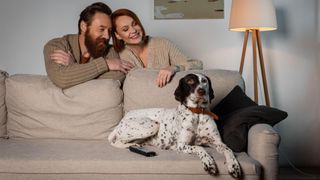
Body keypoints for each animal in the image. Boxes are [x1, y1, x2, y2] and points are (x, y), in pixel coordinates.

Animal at [109, 73, 241, 177]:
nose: (202, 91)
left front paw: (234, 166)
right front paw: (209, 162)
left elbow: (229, 150)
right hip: (153, 125)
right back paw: (133, 145)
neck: (197, 113)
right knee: (117, 141)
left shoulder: (217, 143)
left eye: (204, 81)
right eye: (190, 81)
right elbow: (200, 148)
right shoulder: (182, 145)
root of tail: (122, 119)